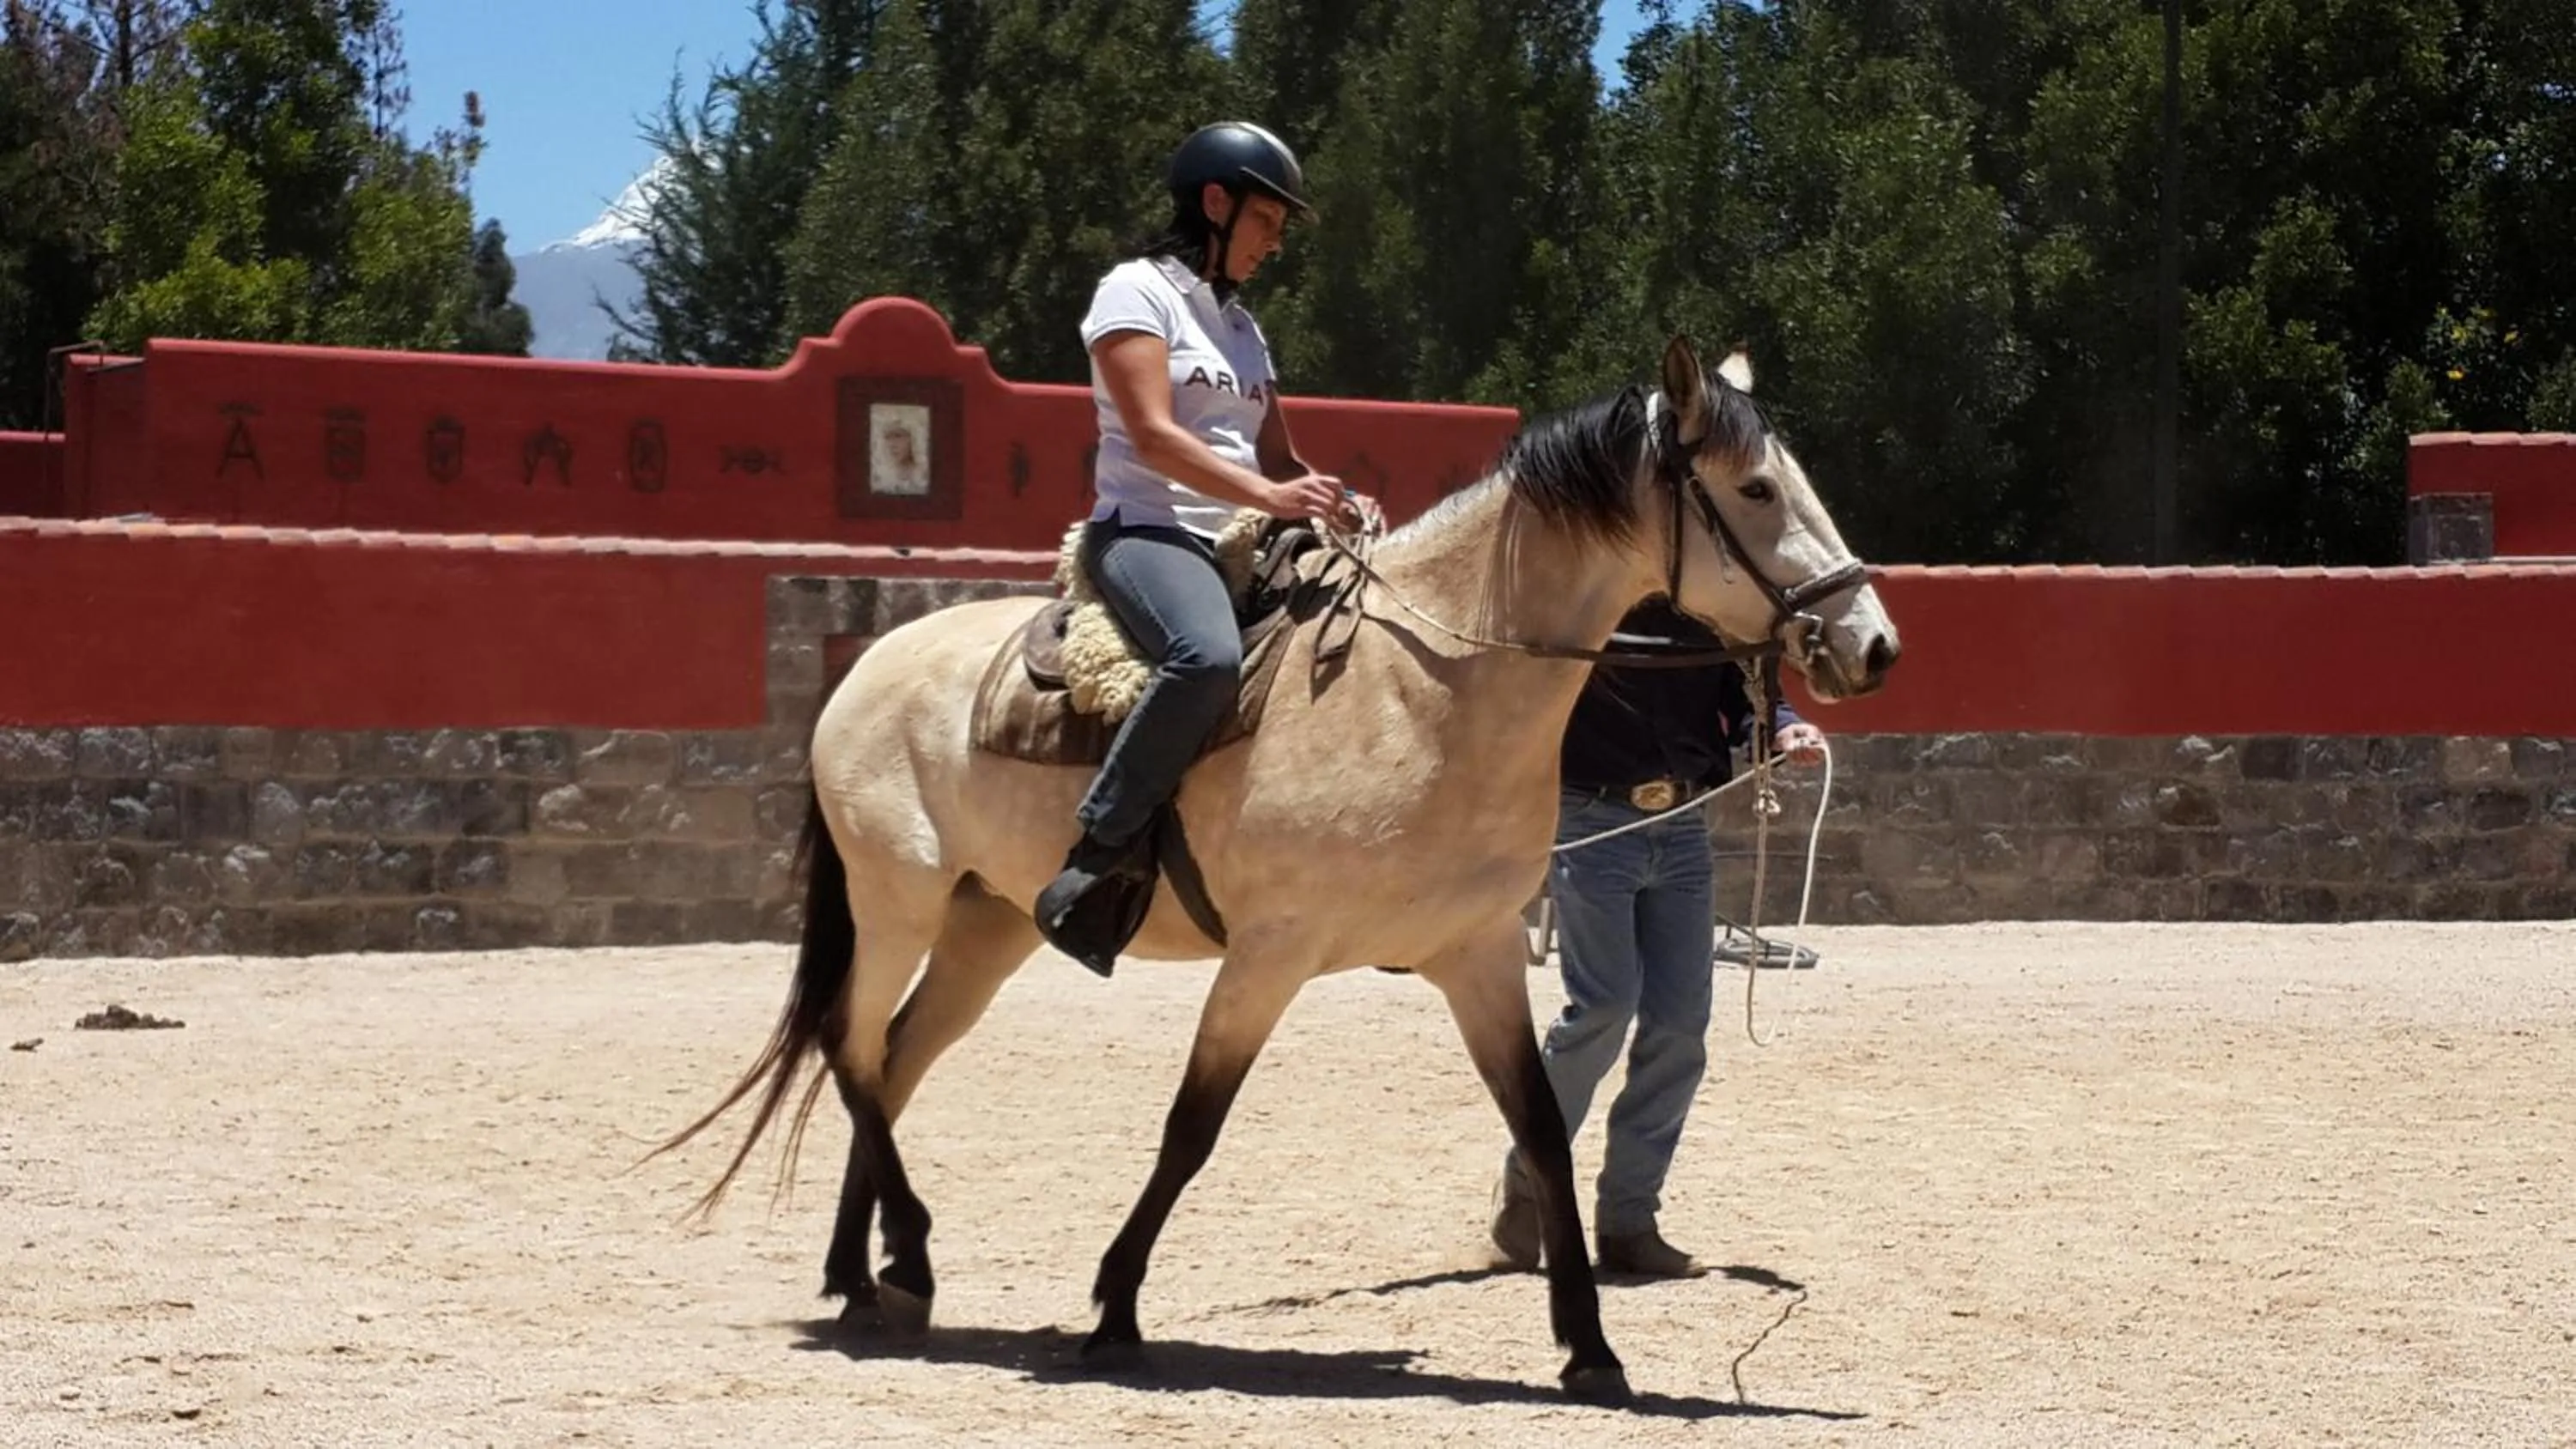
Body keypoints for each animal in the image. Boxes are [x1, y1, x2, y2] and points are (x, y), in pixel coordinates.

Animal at [651, 335, 1901, 1405]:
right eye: (1754, 490)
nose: (1873, 644)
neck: (1428, 689)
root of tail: (868, 665)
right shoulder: (1269, 956)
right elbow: (1191, 1128)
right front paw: (1115, 1310)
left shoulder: (1479, 953)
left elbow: (1544, 1129)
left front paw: (1590, 1350)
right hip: (896, 902)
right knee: (850, 1046)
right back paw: (902, 1258)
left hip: (984, 927)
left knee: (893, 1060)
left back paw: (868, 1276)